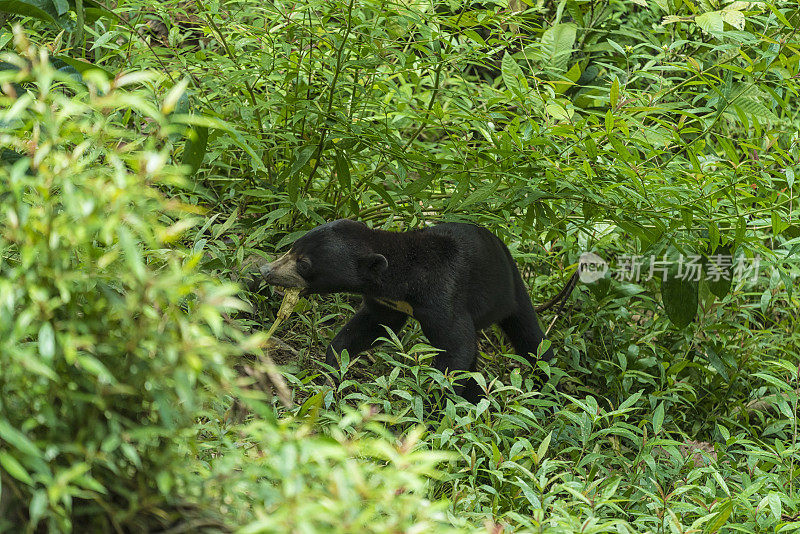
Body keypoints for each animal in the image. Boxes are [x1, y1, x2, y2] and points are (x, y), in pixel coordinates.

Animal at [260, 221, 552, 402]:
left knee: (531, 340)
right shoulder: (387, 303)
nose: (265, 270)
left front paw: (434, 408)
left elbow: (457, 346)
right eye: (292, 247)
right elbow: (370, 326)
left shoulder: (444, 296)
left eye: (304, 264)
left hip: (510, 291)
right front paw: (333, 368)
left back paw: (546, 390)